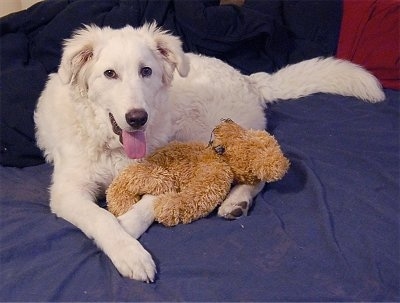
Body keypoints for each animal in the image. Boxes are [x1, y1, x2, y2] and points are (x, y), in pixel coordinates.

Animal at [34, 23, 384, 282]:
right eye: (109, 74)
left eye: (146, 71)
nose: (137, 118)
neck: (115, 147)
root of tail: (249, 79)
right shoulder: (68, 191)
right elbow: (100, 218)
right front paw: (127, 248)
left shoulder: (166, 167)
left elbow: (148, 203)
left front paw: (129, 230)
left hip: (200, 132)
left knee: (246, 172)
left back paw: (236, 200)